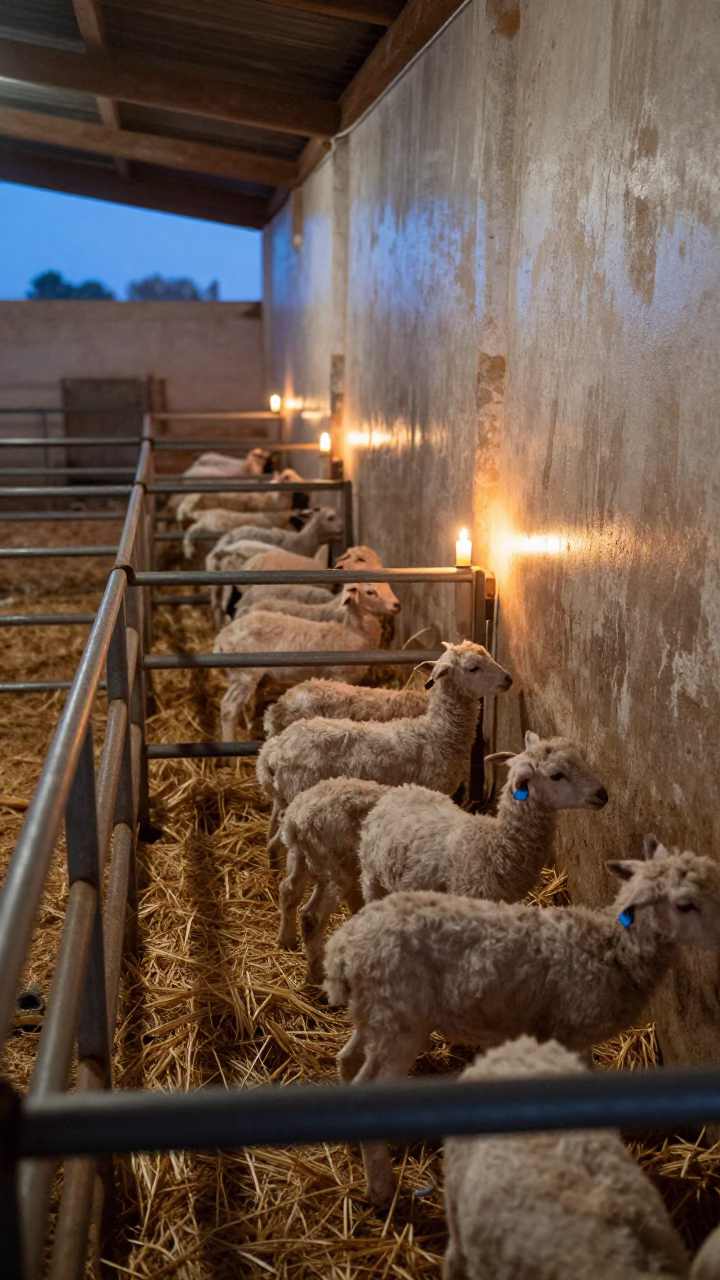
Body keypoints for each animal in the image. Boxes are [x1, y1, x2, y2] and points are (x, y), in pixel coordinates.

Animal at [214, 581, 401, 743]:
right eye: (370, 592)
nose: (397, 605)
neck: (354, 634)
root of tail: (222, 636)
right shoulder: (337, 676)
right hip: (244, 674)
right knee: (229, 708)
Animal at [276, 732, 607, 984]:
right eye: (557, 775)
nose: (602, 794)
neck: (495, 844)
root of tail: (296, 814)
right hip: (351, 870)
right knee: (315, 915)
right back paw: (317, 973)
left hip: (309, 858)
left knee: (291, 891)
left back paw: (290, 943)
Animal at [324, 834, 720, 1205]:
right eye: (685, 905)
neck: (613, 951)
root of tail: (343, 947)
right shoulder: (572, 1032)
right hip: (399, 1022)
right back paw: (382, 1189)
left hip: (377, 1014)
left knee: (347, 1059)